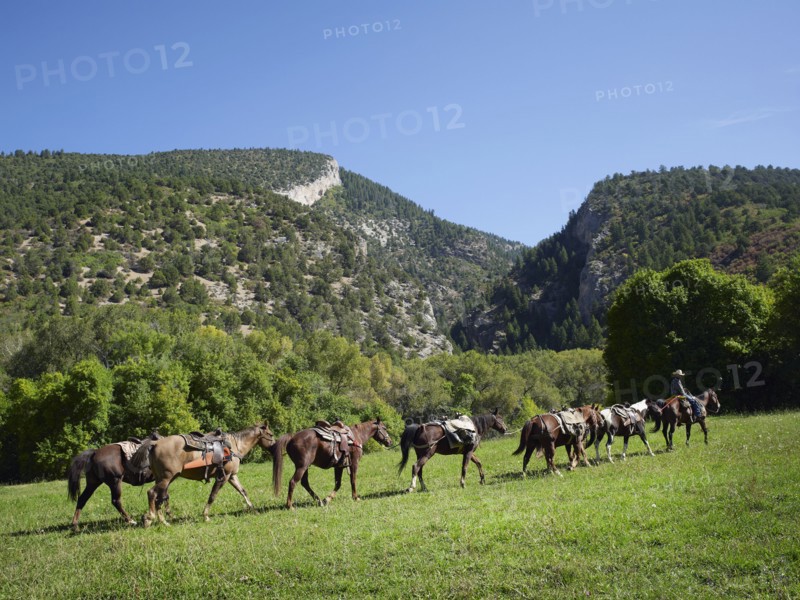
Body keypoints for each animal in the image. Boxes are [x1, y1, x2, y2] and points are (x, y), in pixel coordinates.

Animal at [130, 422, 275, 527]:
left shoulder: (232, 476)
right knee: (152, 493)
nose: (274, 446)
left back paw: (163, 521)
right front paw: (205, 515)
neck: (234, 445)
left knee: (159, 497)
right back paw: (150, 518)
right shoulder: (223, 477)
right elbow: (212, 496)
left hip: (165, 479)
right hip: (166, 478)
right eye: (271, 434)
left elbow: (243, 491)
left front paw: (253, 509)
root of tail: (155, 444)